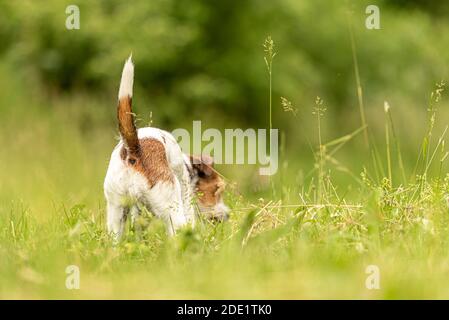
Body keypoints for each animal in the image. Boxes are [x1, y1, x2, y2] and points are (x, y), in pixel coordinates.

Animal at [104, 55, 229, 240]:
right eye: (218, 189)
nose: (228, 216)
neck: (188, 165)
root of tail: (134, 150)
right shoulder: (186, 196)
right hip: (172, 210)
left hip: (116, 212)